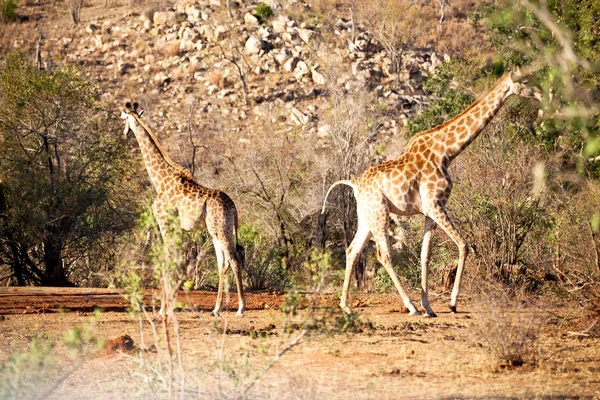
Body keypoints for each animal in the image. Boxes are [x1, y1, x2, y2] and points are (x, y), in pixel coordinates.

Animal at [120, 101, 245, 318]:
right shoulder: (176, 229)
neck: (160, 180)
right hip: (215, 231)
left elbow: (167, 261)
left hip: (221, 229)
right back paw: (216, 309)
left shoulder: (164, 223)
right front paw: (167, 306)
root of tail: (234, 208)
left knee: (234, 260)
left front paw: (163, 309)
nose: (123, 133)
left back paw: (240, 308)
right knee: (223, 263)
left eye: (122, 118)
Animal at [322, 69, 540, 318]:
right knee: (383, 255)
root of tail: (355, 183)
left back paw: (346, 306)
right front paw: (451, 303)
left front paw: (429, 306)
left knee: (352, 251)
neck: (447, 152)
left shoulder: (429, 211)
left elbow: (425, 255)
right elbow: (464, 245)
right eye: (525, 81)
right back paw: (410, 306)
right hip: (380, 213)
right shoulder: (435, 204)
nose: (541, 94)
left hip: (367, 217)